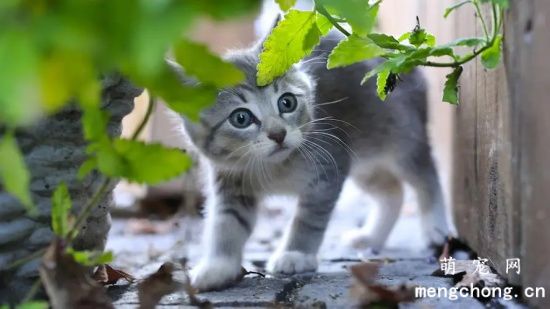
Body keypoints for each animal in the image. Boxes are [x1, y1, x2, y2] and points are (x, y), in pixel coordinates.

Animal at [179, 32, 450, 290]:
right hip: (364, 161)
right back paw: (371, 236)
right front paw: (218, 267)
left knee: (426, 177)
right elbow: (226, 223)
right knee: (392, 191)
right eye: (241, 118)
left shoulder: (329, 168)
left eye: (287, 102)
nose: (278, 134)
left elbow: (309, 217)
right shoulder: (231, 183)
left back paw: (436, 228)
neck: (276, 166)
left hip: (403, 138)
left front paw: (295, 254)